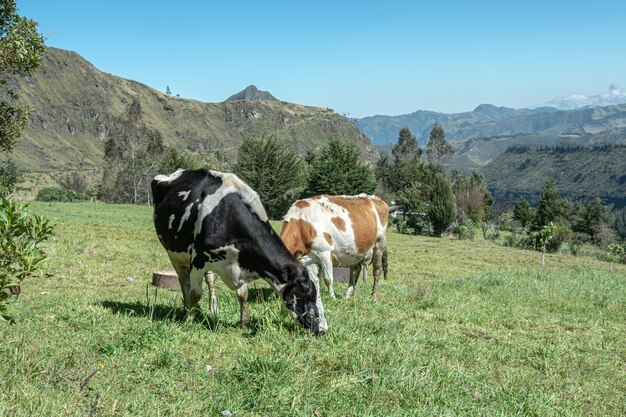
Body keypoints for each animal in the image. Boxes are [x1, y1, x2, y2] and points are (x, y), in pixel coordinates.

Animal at [151, 167, 326, 334]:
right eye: (305, 294)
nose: (322, 329)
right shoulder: (198, 259)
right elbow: (195, 294)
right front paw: (188, 319)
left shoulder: (242, 261)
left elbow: (243, 295)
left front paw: (244, 322)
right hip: (174, 254)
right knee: (184, 282)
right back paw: (186, 307)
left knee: (210, 279)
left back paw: (213, 308)